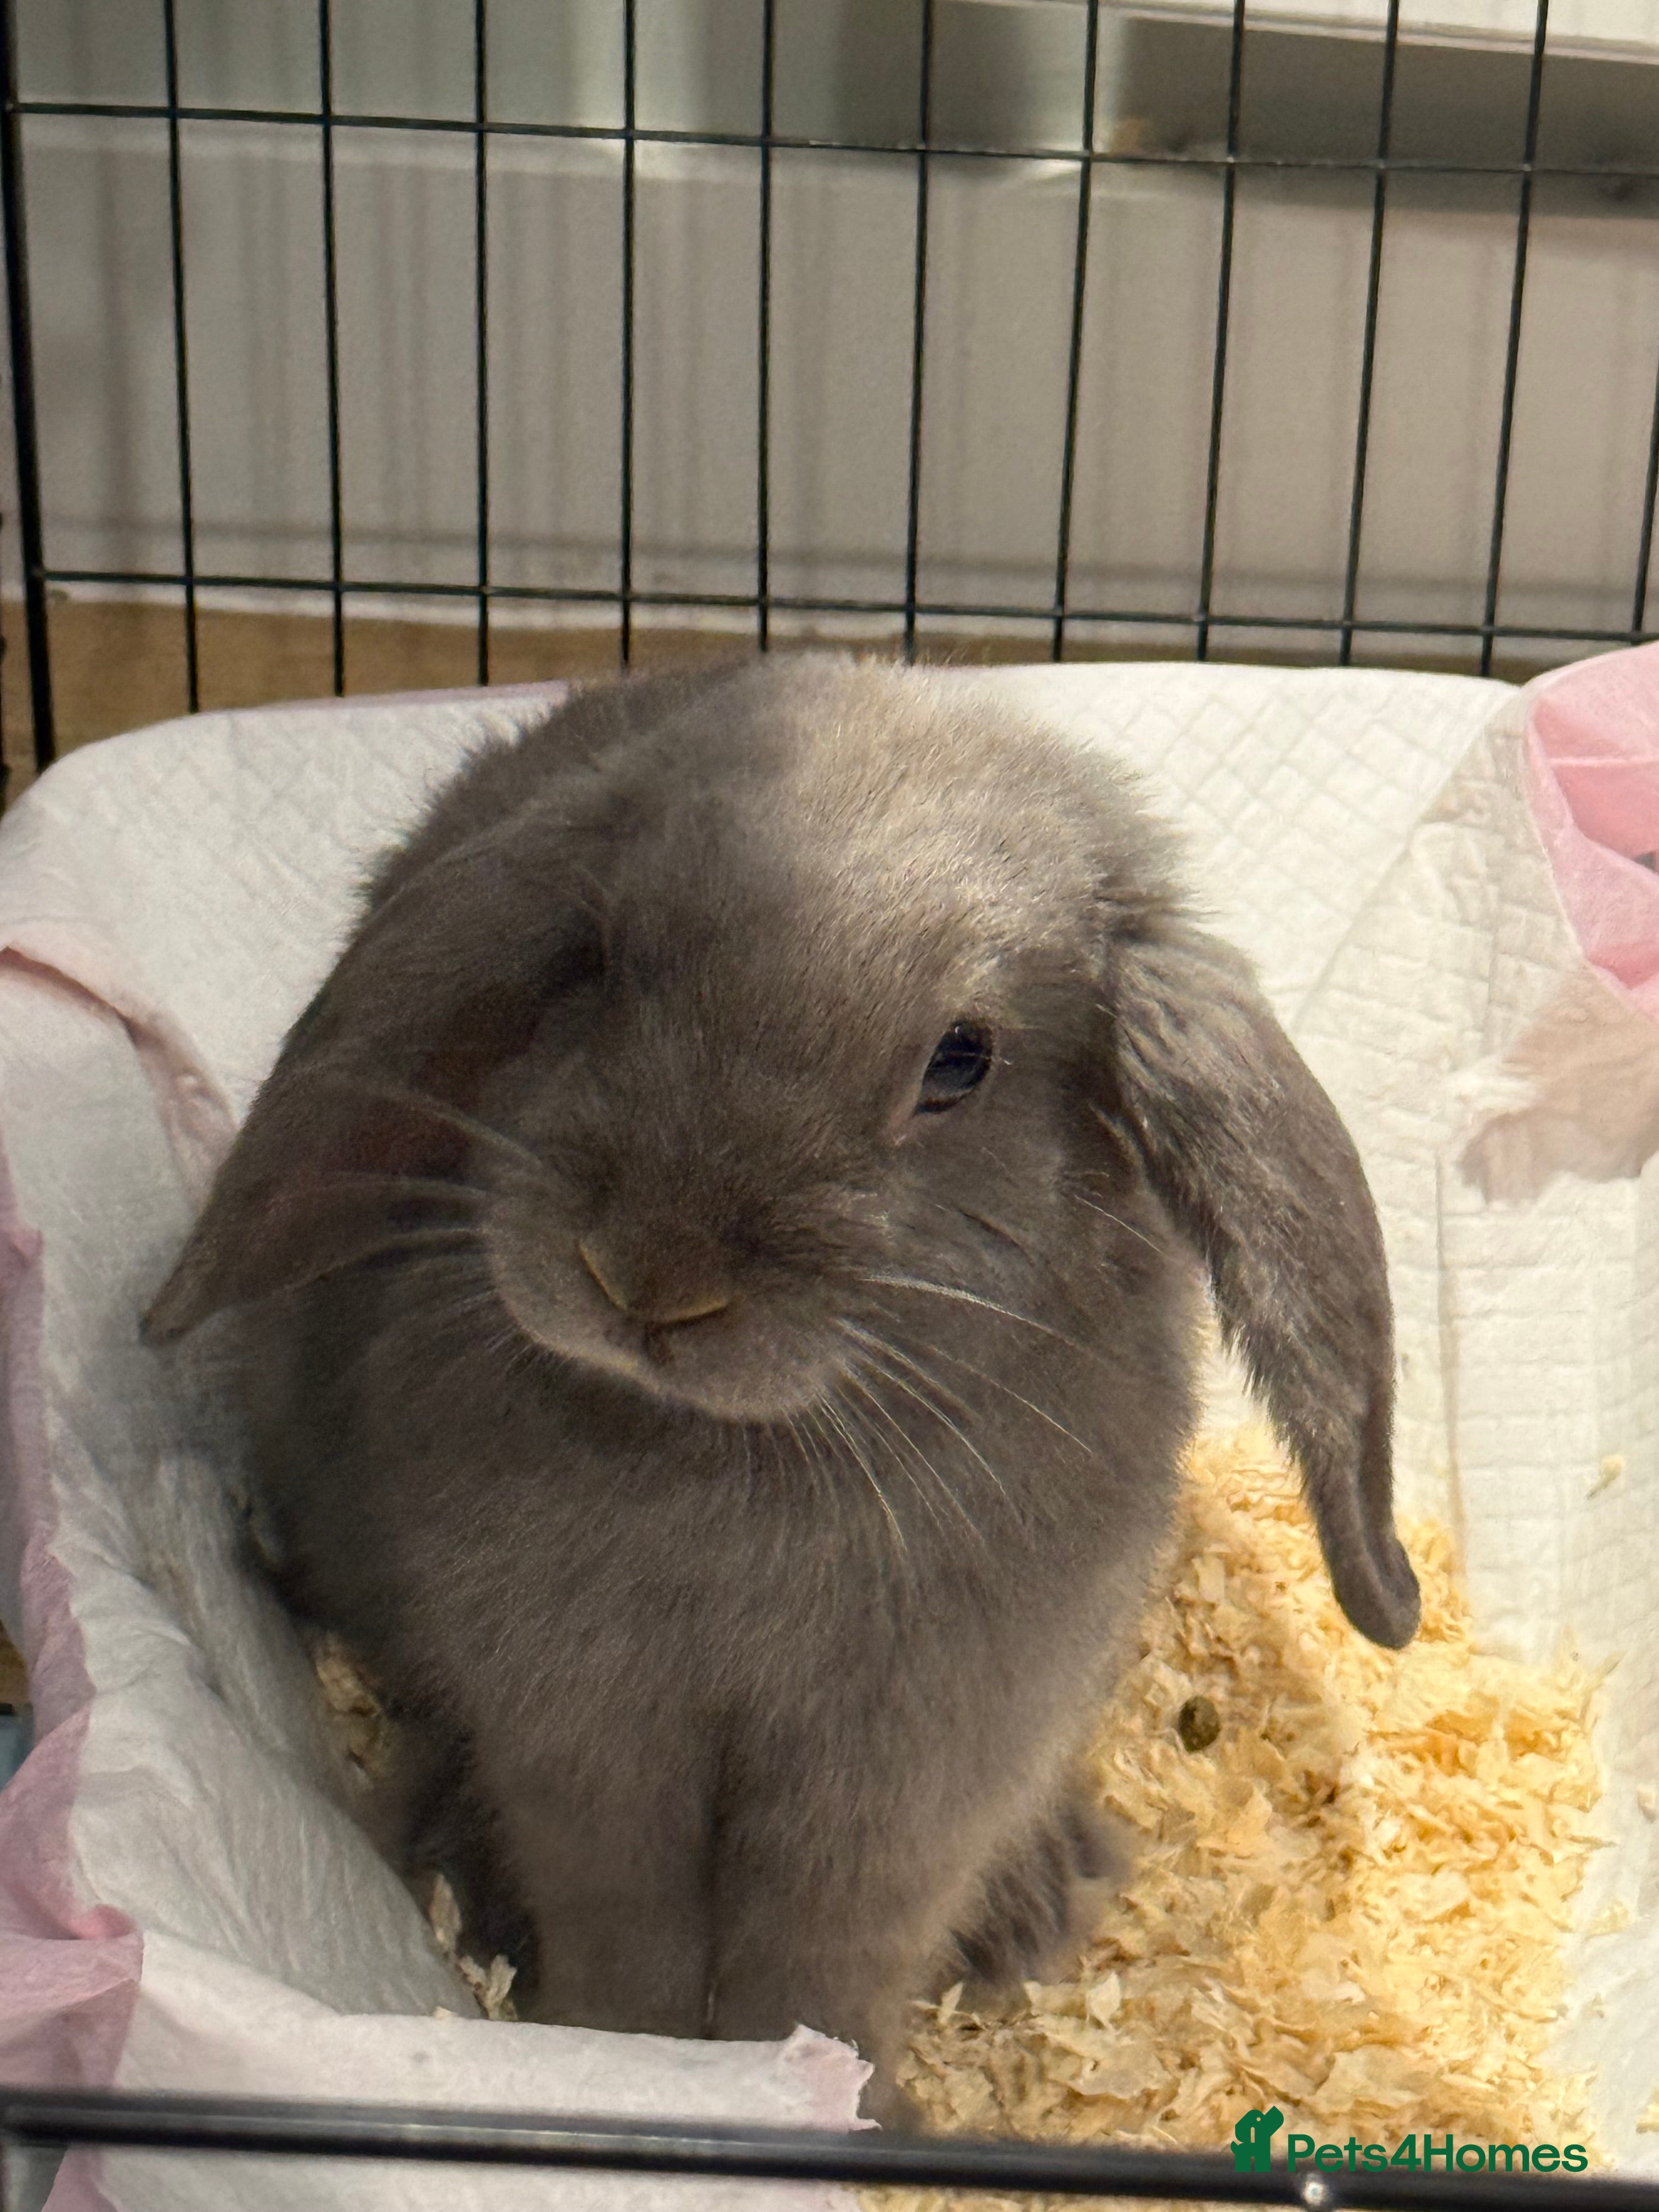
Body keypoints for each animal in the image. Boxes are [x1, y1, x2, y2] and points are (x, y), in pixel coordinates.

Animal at [144, 654, 1419, 2125]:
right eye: (604, 962)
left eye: (962, 1060)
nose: (649, 1275)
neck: (737, 1456)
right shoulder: (582, 1739)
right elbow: (628, 1925)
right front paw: (631, 2069)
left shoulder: (905, 1777)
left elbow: (820, 1961)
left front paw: (850, 2107)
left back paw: (1031, 1904)